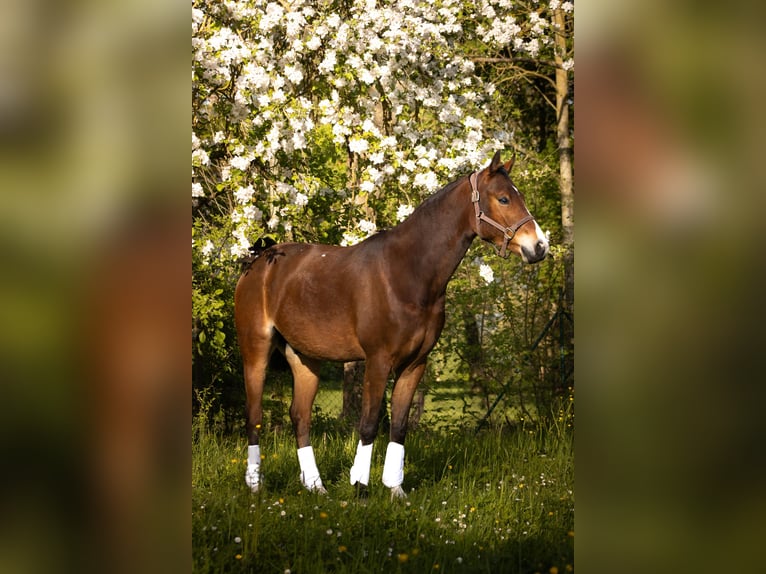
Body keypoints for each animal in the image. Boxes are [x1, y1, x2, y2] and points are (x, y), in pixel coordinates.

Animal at [234, 151, 549, 498]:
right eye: (504, 198)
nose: (539, 247)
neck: (406, 273)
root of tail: (259, 259)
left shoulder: (415, 364)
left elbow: (398, 426)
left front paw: (395, 490)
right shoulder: (378, 360)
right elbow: (370, 423)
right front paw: (360, 487)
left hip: (306, 359)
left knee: (300, 417)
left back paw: (316, 487)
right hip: (256, 351)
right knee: (254, 416)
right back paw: (255, 485)